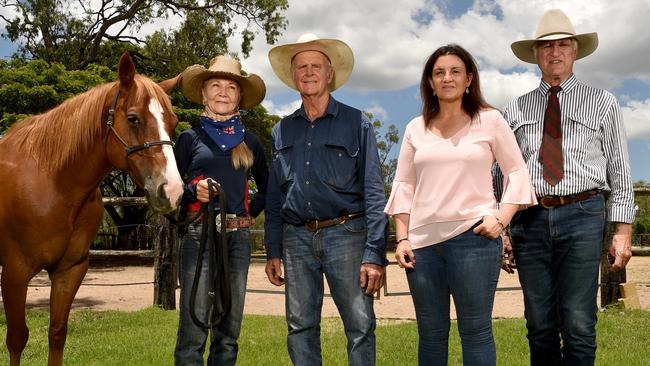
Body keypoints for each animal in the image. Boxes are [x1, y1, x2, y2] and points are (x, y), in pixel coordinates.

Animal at [0, 53, 182, 364]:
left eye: (173, 121)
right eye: (133, 118)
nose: (172, 190)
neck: (53, 182)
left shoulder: (70, 270)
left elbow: (57, 333)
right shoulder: (15, 272)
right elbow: (16, 338)